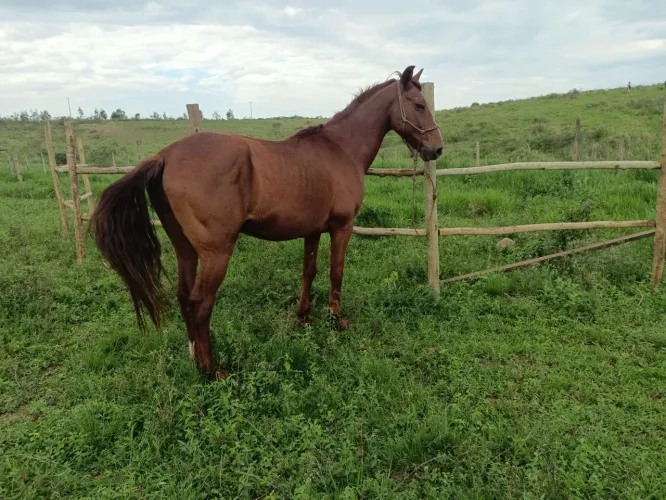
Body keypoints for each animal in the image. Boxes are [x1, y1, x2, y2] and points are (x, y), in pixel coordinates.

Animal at [89, 65, 444, 379]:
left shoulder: (313, 231)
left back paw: (194, 357)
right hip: (216, 253)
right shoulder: (341, 227)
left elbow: (309, 270)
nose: (437, 148)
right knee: (200, 303)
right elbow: (336, 272)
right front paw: (336, 320)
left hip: (185, 250)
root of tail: (164, 156)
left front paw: (304, 317)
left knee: (183, 297)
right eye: (419, 105)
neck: (340, 150)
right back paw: (212, 370)